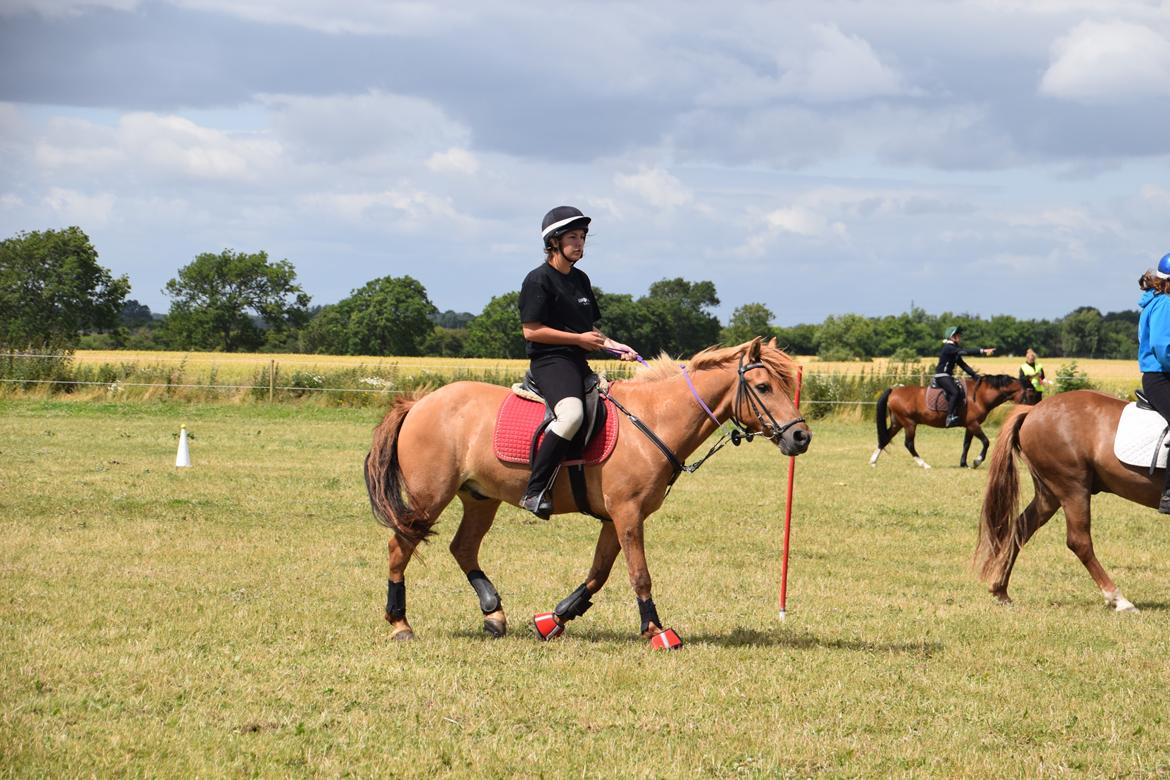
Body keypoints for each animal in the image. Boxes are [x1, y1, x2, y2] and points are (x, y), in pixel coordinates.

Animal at [365, 341, 814, 645]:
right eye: (762, 386)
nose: (801, 437)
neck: (651, 421)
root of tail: (420, 402)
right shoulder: (627, 514)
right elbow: (639, 574)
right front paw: (656, 630)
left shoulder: (617, 519)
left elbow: (598, 573)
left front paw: (555, 618)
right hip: (430, 498)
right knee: (399, 546)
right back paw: (400, 623)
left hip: (480, 497)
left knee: (462, 548)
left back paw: (494, 614)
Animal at [870, 376, 1034, 470]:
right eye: (1030, 392)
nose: (1031, 413)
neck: (979, 396)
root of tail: (894, 390)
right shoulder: (974, 424)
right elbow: (986, 442)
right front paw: (977, 461)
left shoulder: (970, 426)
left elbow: (966, 444)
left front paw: (964, 464)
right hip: (909, 423)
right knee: (909, 444)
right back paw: (924, 464)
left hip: (898, 423)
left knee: (885, 438)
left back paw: (873, 462)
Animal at [973, 392, 1155, 612]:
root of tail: (1032, 411)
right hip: (1073, 488)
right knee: (1079, 542)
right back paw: (1118, 599)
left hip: (1048, 495)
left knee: (1021, 528)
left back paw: (1000, 590)